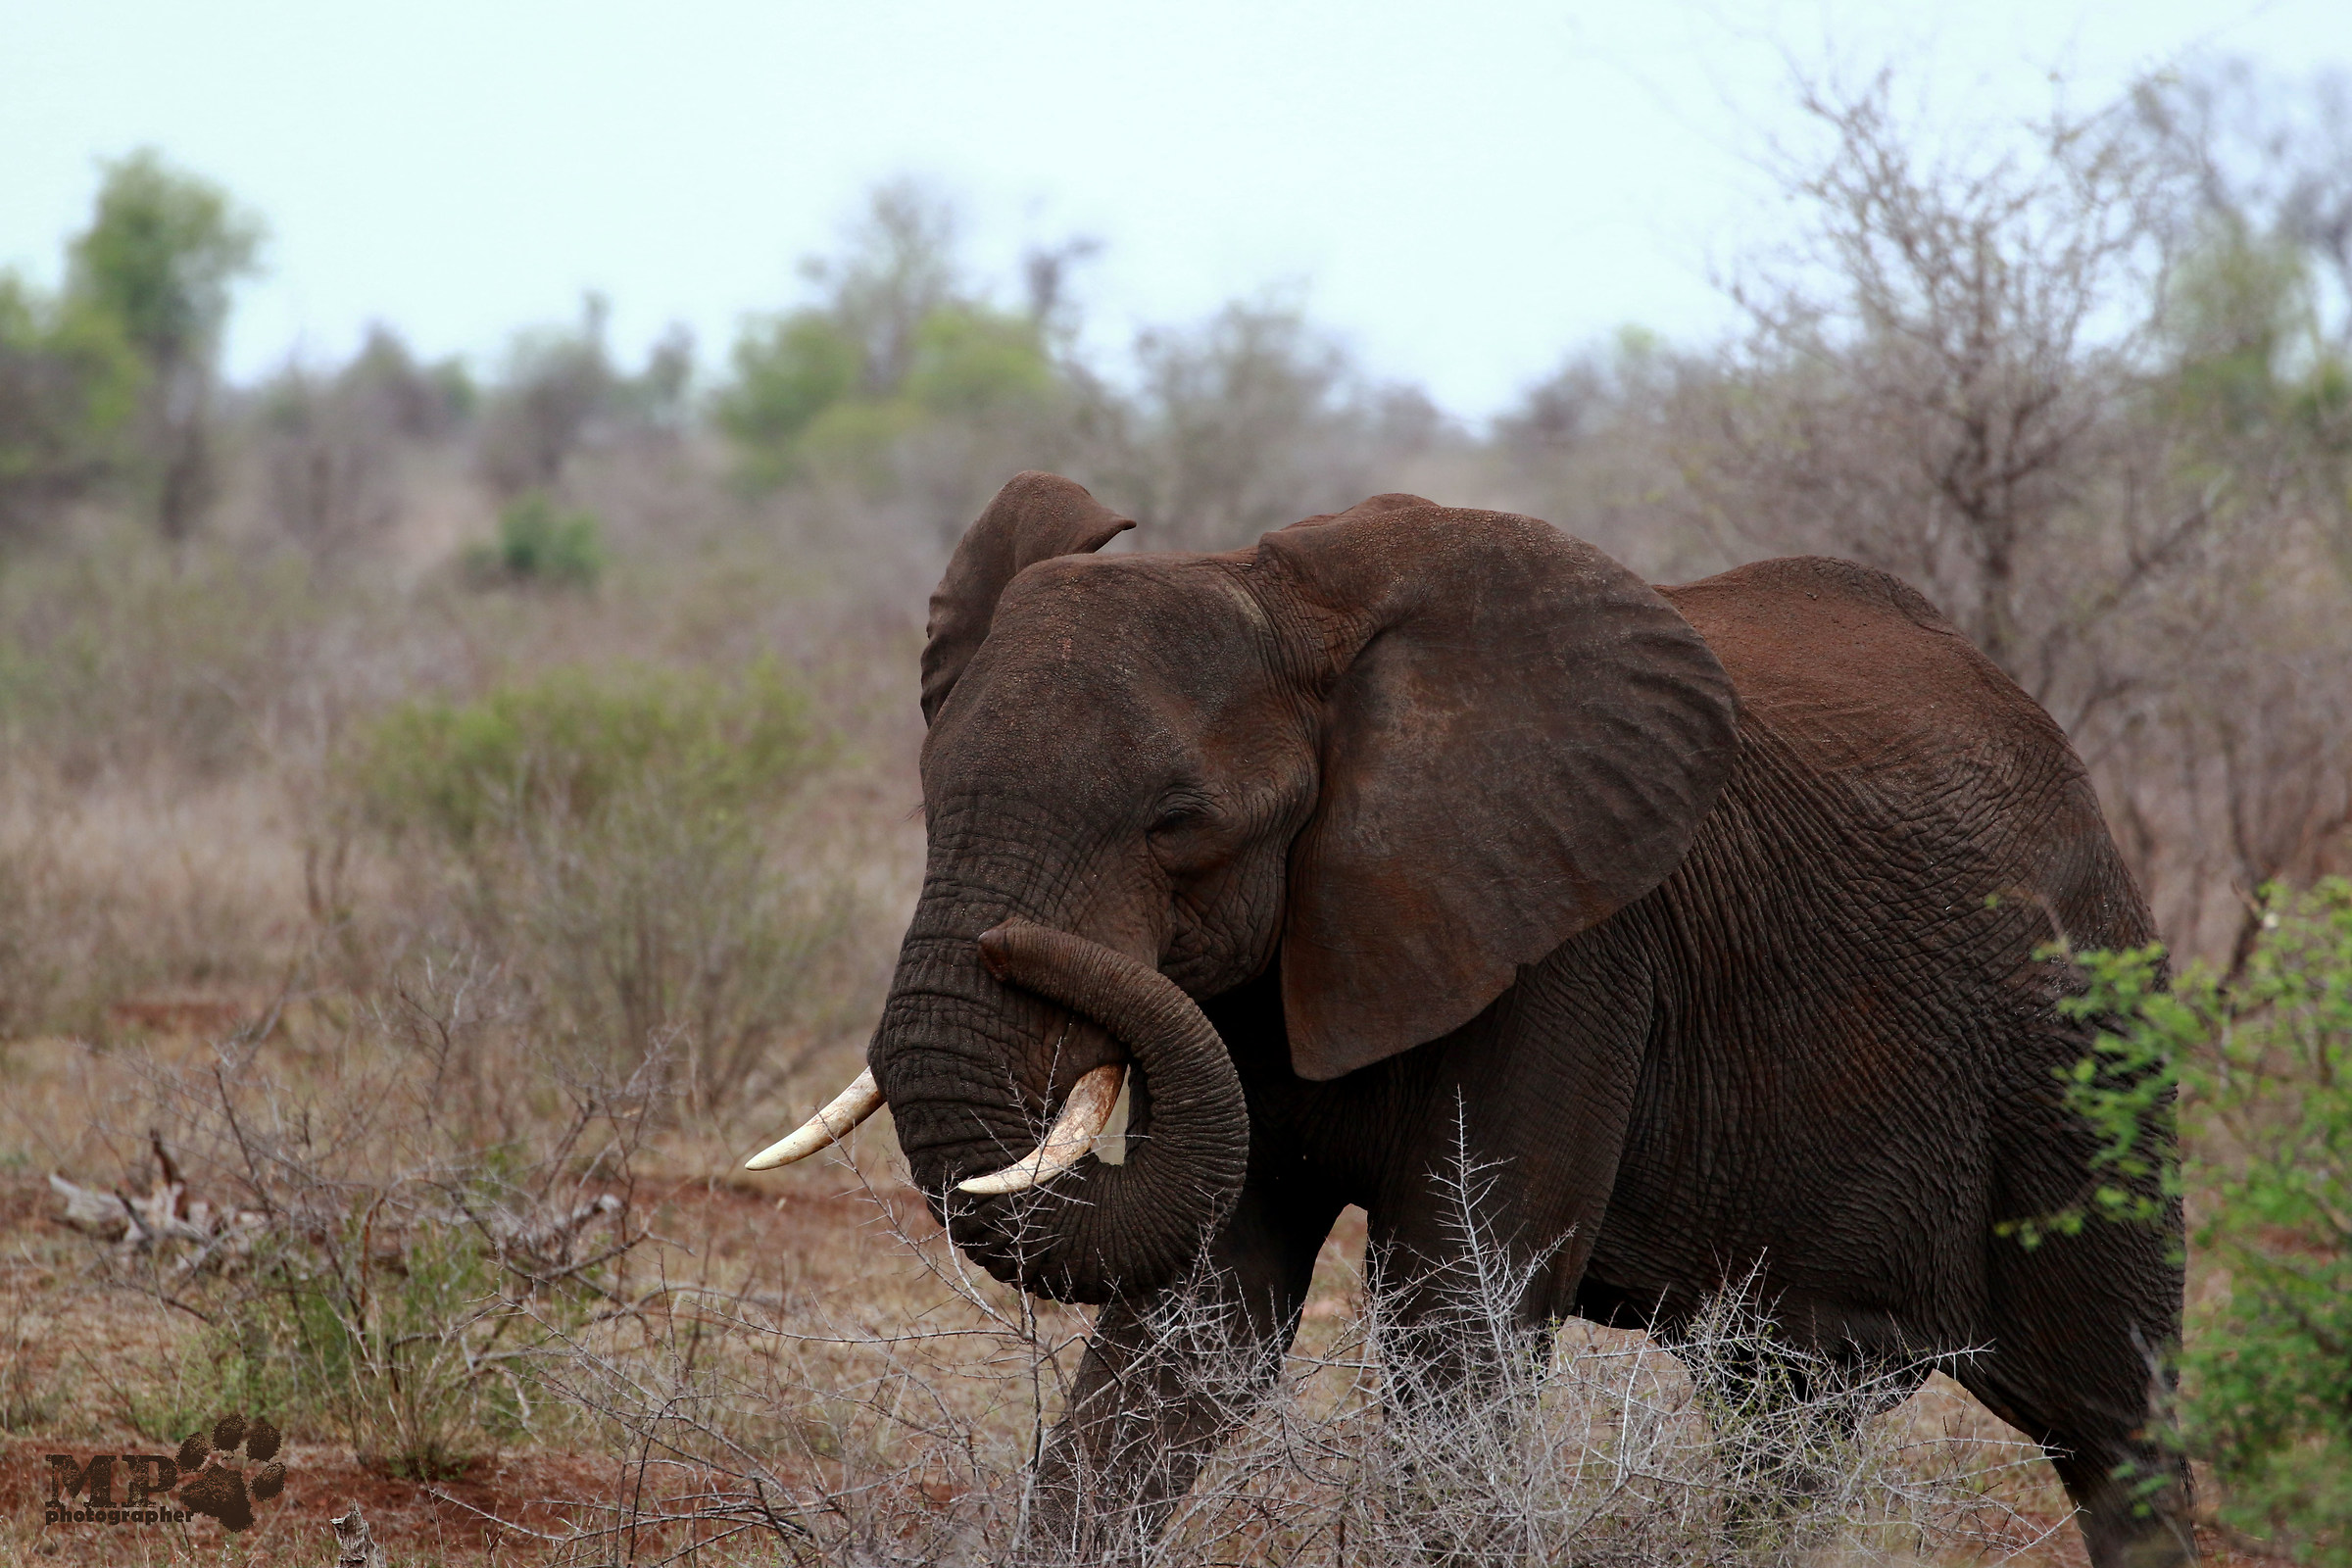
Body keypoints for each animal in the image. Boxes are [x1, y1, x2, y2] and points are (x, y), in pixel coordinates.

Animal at [748, 472, 2191, 1565]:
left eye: (1179, 824)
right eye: (932, 791)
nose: (1012, 943)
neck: (1292, 608)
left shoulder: (1573, 954)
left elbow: (1458, 1328)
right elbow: (1189, 1332)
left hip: (2090, 1063)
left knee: (2120, 1431)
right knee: (1788, 1421)